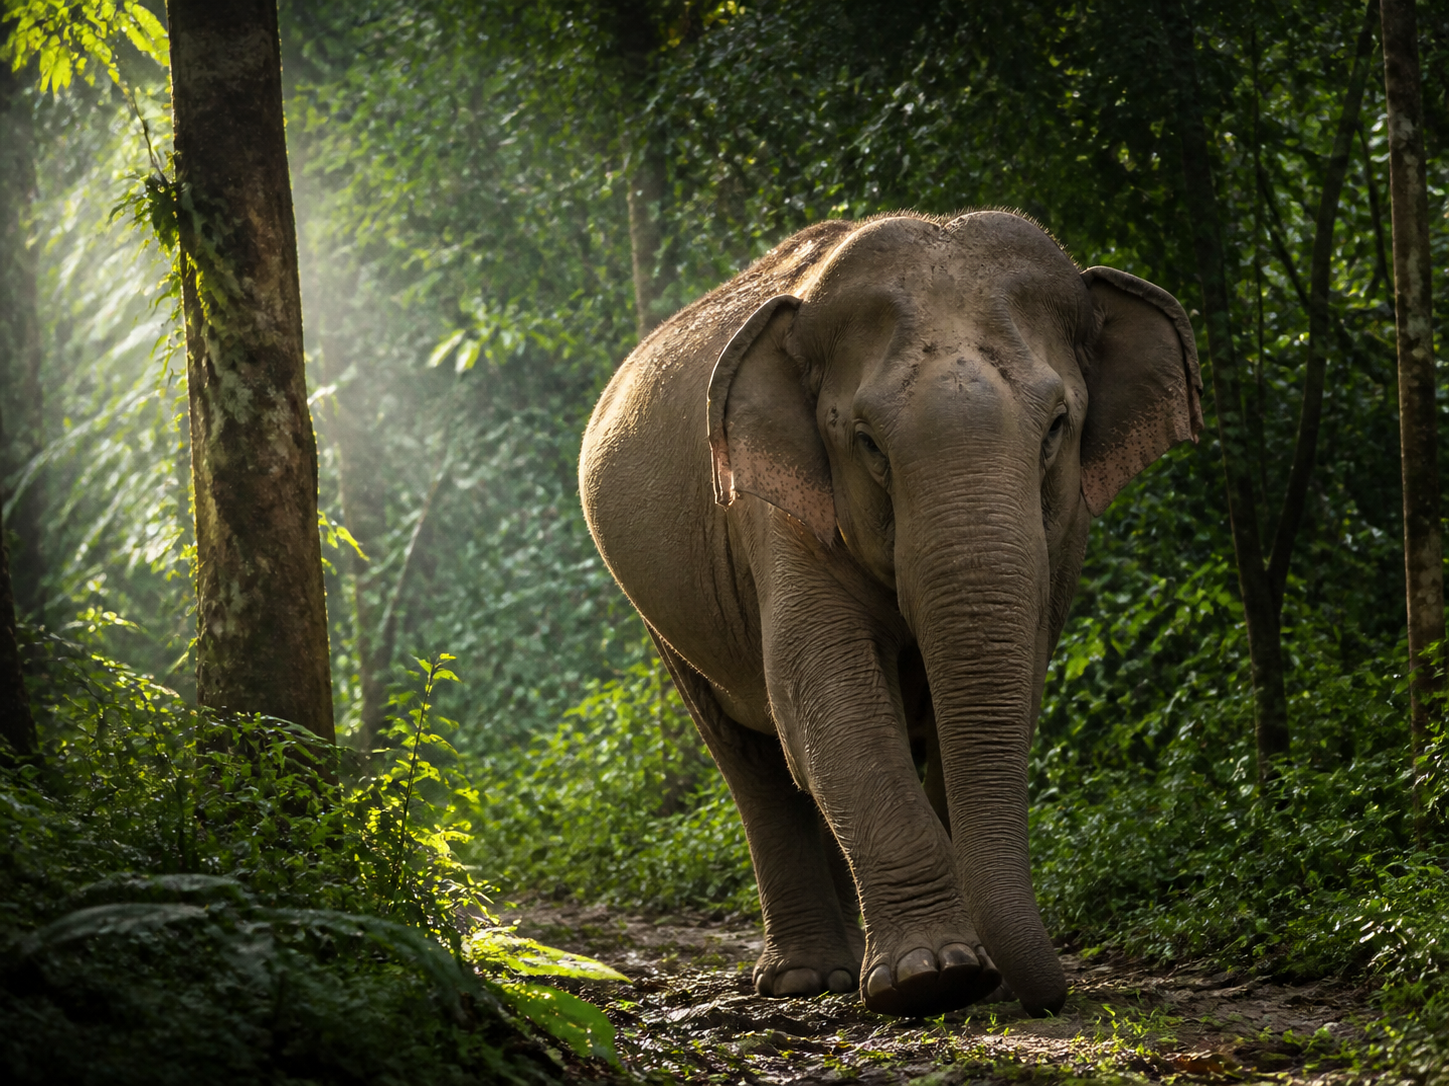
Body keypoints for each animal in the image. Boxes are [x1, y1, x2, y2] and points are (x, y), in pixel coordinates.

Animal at [579, 210, 1201, 1018]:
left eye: (1058, 425)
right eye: (867, 442)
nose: (1049, 998)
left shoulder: (1064, 536)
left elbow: (1000, 688)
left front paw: (971, 970)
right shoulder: (774, 512)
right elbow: (824, 693)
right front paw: (934, 976)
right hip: (666, 623)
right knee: (755, 762)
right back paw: (809, 980)